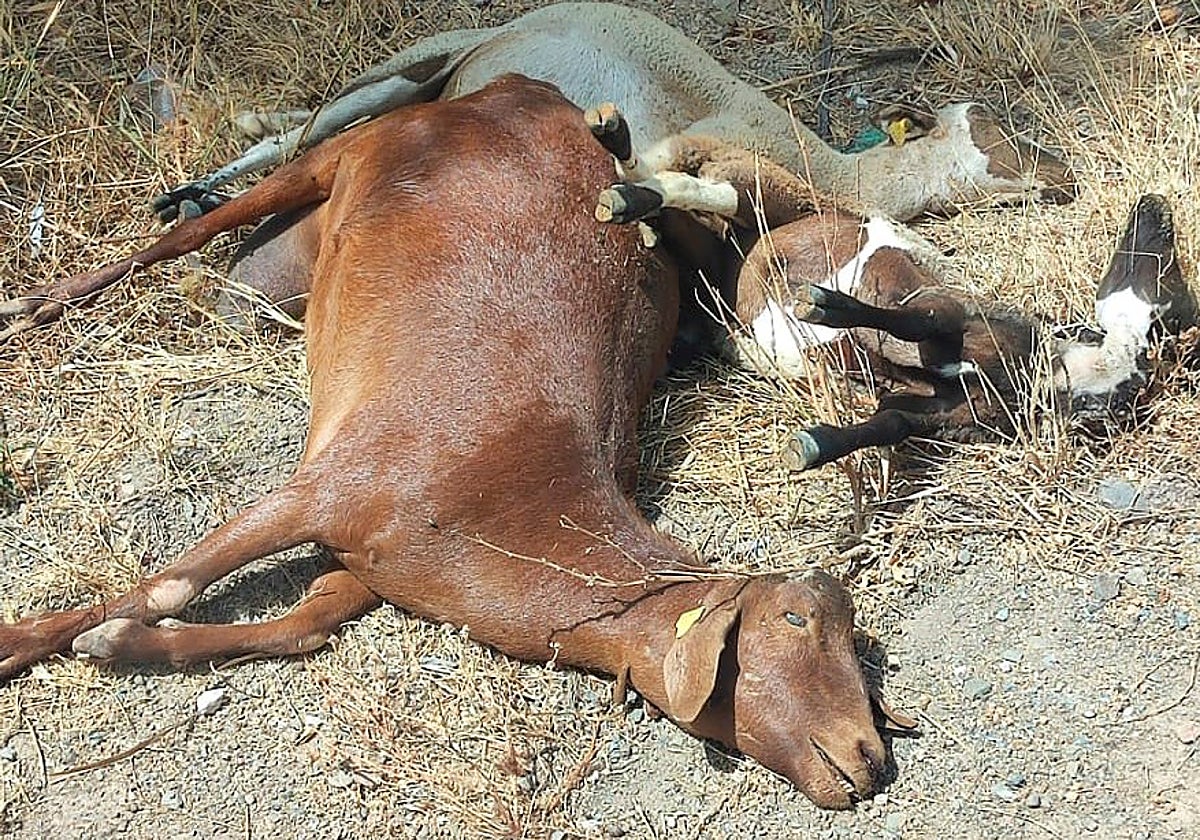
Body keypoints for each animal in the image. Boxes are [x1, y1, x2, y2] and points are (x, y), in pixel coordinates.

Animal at [0, 3, 1075, 339]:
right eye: (1001, 137)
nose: (1065, 181)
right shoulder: (672, 142)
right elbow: (678, 182)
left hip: (415, 85)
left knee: (295, 140)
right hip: (409, 64)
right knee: (296, 132)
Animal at [0, 76, 908, 810]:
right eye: (794, 620)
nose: (869, 758)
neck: (509, 496)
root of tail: (526, 91)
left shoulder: (377, 560)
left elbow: (307, 623)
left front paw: (120, 645)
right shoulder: (336, 481)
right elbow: (172, 582)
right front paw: (30, 642)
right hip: (356, 144)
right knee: (188, 231)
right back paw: (43, 302)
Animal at [587, 107, 1195, 468]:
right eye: (1169, 274)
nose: (1154, 206)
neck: (1041, 368)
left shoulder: (948, 412)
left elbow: (892, 421)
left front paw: (814, 446)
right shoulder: (950, 313)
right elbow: (915, 319)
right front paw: (824, 304)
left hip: (712, 274)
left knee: (673, 217)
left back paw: (624, 188)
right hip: (772, 195)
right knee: (708, 190)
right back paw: (615, 152)